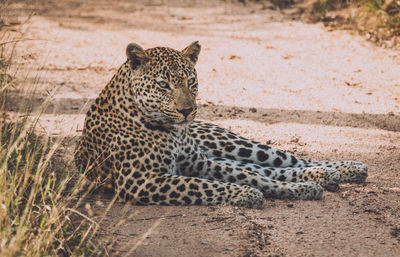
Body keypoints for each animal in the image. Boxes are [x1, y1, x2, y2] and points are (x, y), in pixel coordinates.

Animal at [73, 40, 368, 208]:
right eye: (164, 85)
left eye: (191, 81)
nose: (187, 111)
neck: (172, 132)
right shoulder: (141, 181)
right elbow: (207, 186)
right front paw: (250, 194)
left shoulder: (198, 164)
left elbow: (252, 178)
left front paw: (288, 190)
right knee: (272, 169)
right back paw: (326, 176)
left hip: (235, 145)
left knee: (289, 161)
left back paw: (346, 169)